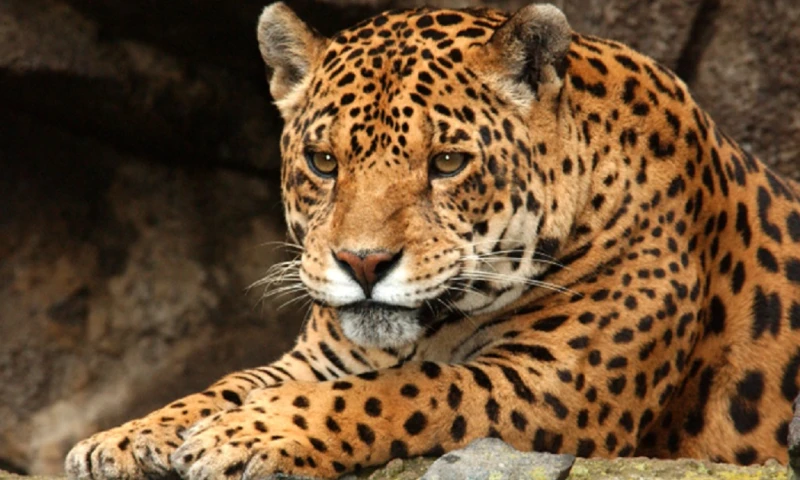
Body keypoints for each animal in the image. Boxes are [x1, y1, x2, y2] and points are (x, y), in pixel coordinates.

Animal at [65, 2, 800, 479]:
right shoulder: (321, 356)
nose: (362, 263)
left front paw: (250, 433)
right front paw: (127, 436)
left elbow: (403, 391)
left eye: (447, 163)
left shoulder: (554, 385)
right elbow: (234, 380)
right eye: (324, 162)